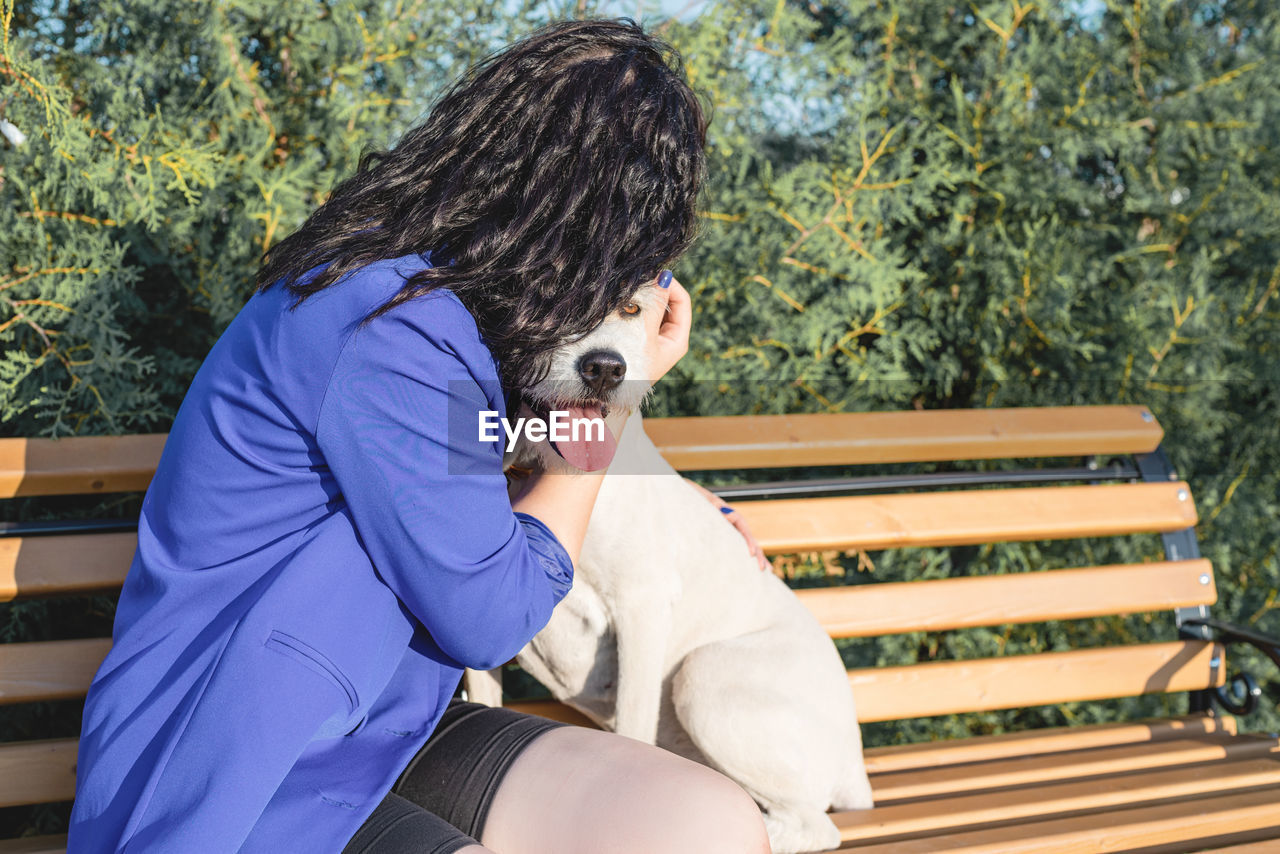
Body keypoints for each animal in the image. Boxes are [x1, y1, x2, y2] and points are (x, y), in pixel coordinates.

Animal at [465, 284, 875, 850]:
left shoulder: (641, 607)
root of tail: (856, 764)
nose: (605, 369)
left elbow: (633, 724)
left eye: (632, 307)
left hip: (705, 677)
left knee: (814, 826)